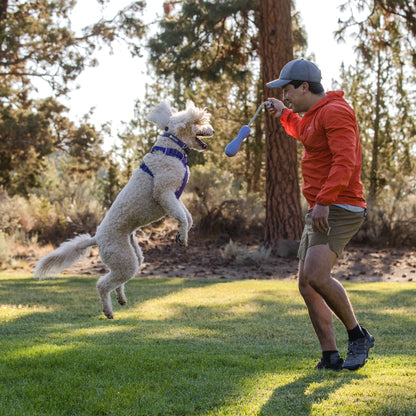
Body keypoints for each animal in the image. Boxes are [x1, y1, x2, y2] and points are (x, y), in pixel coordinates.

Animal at [34, 101, 214, 318]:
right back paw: (108, 311)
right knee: (103, 284)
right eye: (199, 121)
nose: (213, 130)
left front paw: (182, 232)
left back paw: (121, 299)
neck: (171, 148)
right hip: (123, 258)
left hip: (133, 254)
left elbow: (186, 215)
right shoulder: (164, 192)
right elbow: (182, 216)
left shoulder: (174, 196)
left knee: (119, 281)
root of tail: (97, 238)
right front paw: (183, 236)